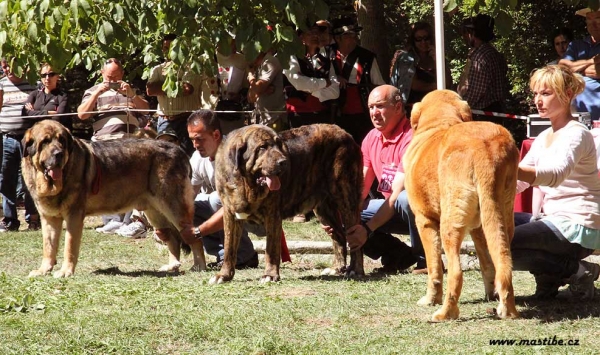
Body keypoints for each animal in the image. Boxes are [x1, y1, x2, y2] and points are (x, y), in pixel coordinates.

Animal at [22, 119, 205, 278]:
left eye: (62, 141)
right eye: (45, 142)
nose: (59, 154)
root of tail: (180, 150)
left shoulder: (73, 217)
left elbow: (69, 247)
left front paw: (66, 271)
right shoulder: (49, 219)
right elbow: (49, 247)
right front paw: (44, 270)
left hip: (174, 208)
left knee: (193, 236)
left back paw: (199, 266)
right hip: (155, 212)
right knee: (173, 239)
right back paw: (172, 266)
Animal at [213, 124, 364, 286]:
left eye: (279, 145)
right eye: (262, 147)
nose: (283, 161)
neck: (245, 183)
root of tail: (345, 133)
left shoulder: (272, 214)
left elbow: (271, 249)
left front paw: (270, 275)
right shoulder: (230, 214)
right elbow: (229, 247)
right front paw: (224, 275)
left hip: (346, 199)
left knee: (356, 238)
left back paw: (356, 270)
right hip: (323, 209)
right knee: (339, 235)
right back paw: (337, 268)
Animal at [404, 89, 520, 322]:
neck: (439, 122)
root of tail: (484, 150)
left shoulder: (424, 221)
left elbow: (434, 268)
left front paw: (430, 299)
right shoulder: (478, 228)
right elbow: (487, 264)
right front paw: (490, 295)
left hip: (449, 224)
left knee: (455, 271)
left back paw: (445, 313)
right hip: (501, 216)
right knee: (503, 261)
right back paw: (507, 308)